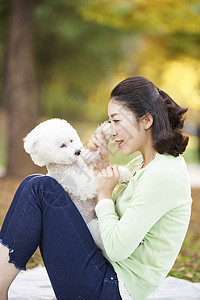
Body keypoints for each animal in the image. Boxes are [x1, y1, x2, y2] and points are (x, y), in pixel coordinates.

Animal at [23, 118, 132, 252]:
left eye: (71, 140)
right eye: (62, 145)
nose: (77, 152)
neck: (70, 165)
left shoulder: (88, 157)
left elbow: (97, 145)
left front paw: (108, 130)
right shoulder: (80, 184)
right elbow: (94, 180)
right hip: (92, 228)